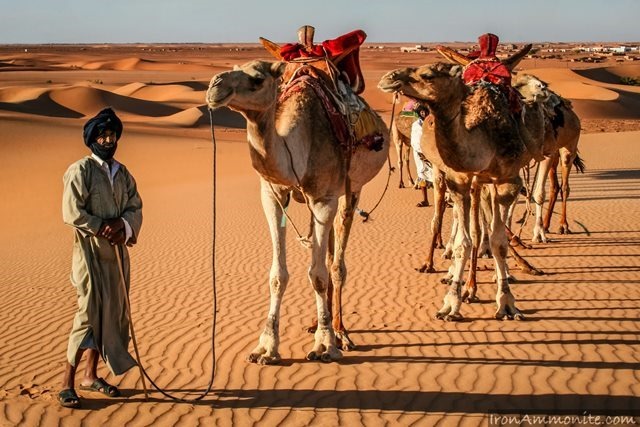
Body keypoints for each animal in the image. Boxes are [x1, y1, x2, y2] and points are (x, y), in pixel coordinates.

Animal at [208, 58, 390, 362]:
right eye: (234, 69)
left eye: (256, 79)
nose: (214, 85)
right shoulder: (272, 194)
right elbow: (277, 276)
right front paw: (266, 348)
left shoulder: (325, 198)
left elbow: (318, 275)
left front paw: (325, 345)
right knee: (327, 254)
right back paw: (317, 322)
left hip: (351, 189)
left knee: (337, 264)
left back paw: (340, 333)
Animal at [380, 61, 544, 320]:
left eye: (427, 75)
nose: (388, 78)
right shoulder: (458, 181)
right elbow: (463, 242)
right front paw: (451, 302)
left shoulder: (507, 182)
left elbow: (498, 243)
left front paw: (506, 302)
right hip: (456, 178)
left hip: (491, 184)